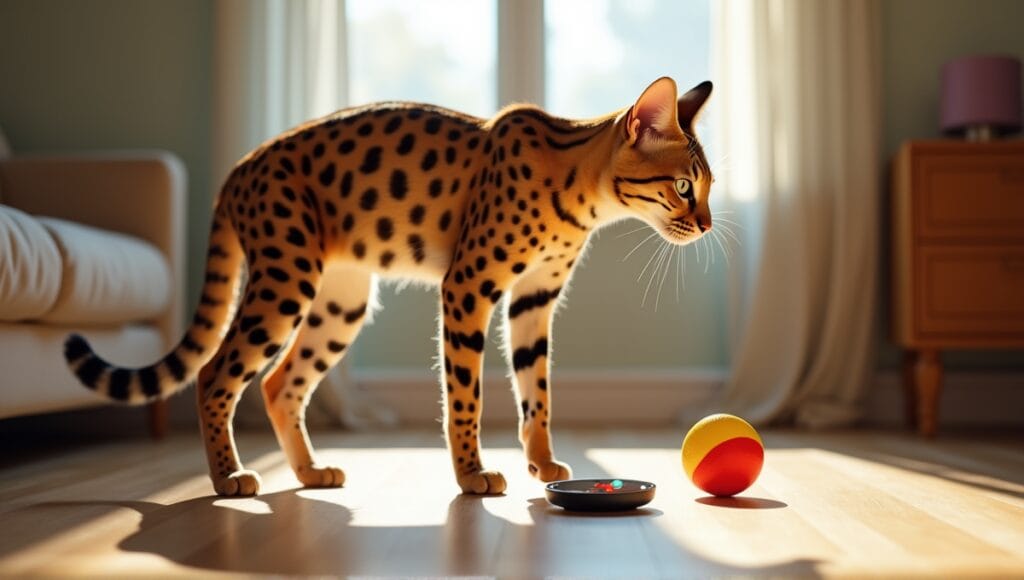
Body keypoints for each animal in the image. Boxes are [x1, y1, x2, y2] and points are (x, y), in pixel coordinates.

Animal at [66, 74, 712, 498]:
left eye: (707, 187)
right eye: (683, 186)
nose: (707, 225)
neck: (579, 197)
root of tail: (238, 169)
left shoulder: (534, 299)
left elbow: (539, 391)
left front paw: (543, 462)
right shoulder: (468, 285)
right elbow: (466, 395)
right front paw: (471, 474)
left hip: (341, 301)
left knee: (278, 383)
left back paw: (308, 473)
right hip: (286, 278)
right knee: (215, 371)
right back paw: (227, 476)